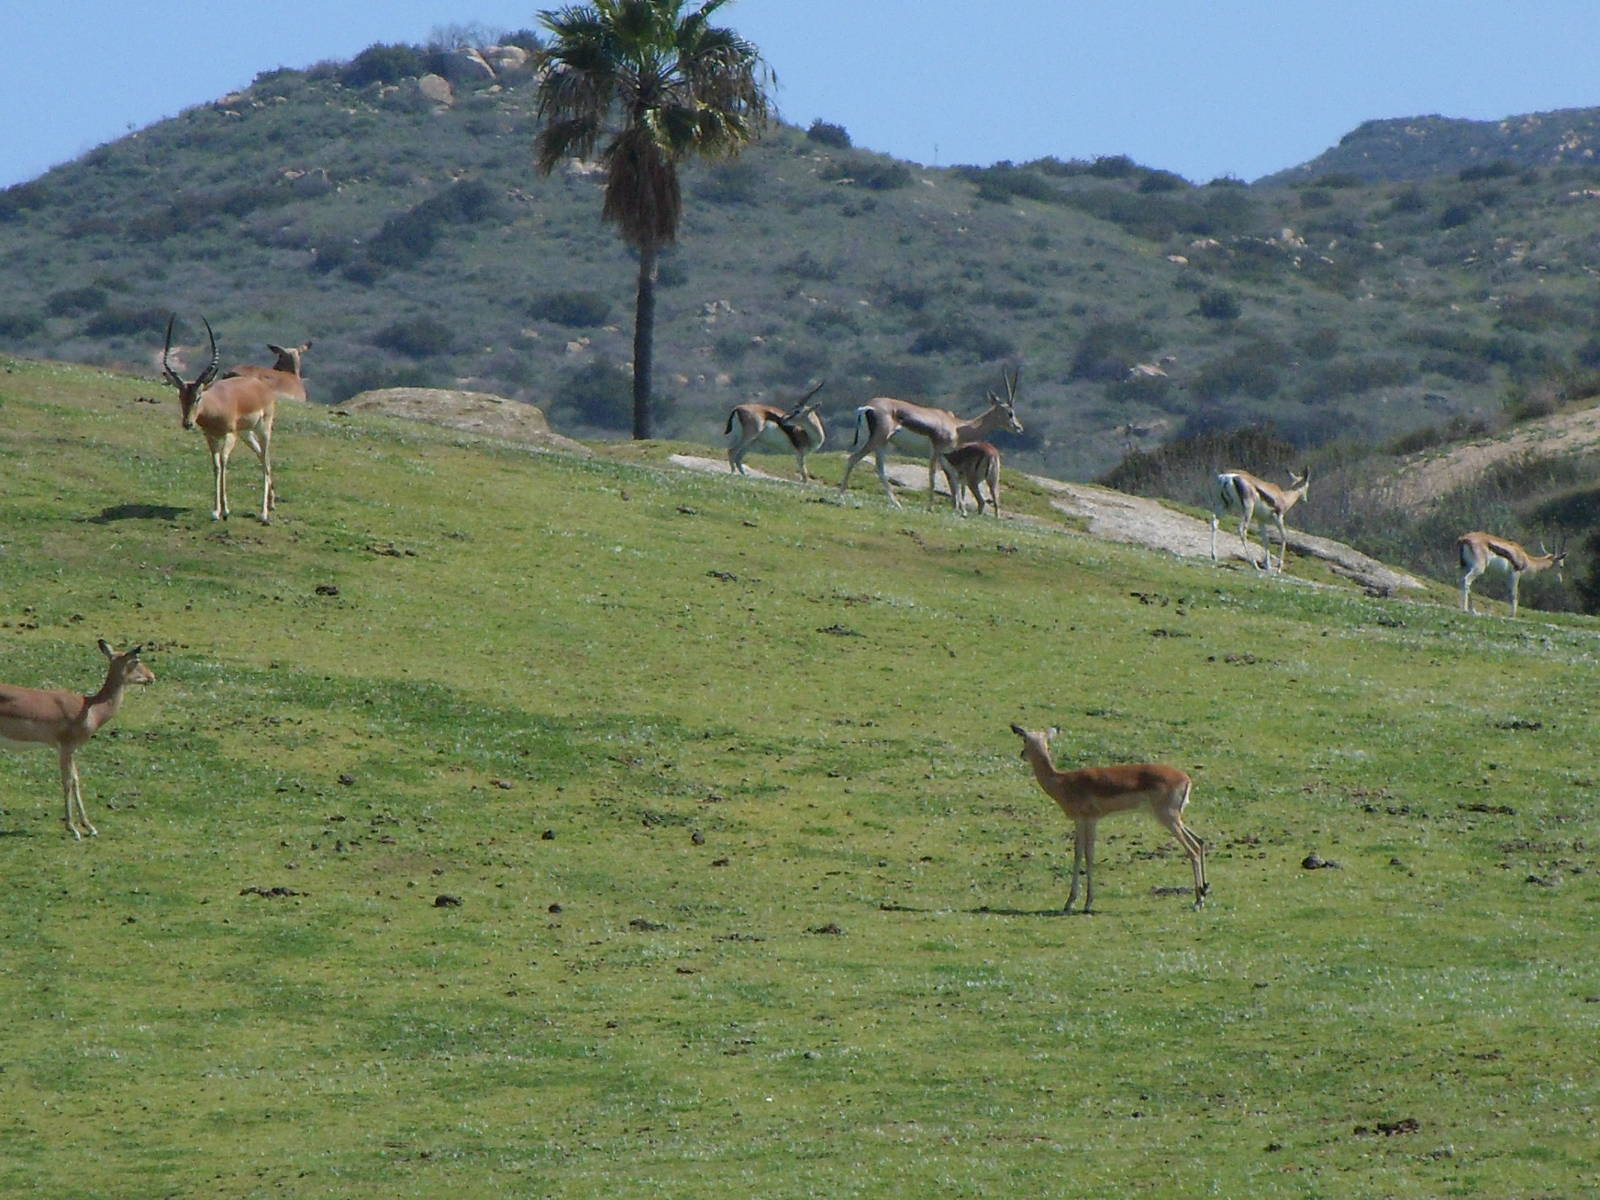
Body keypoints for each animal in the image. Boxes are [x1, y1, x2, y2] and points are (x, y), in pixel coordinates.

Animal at [0, 641, 155, 838]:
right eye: (136, 660)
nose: (152, 676)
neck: (92, 709)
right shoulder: (65, 747)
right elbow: (67, 781)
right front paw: (73, 829)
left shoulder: (70, 750)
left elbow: (75, 779)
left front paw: (89, 827)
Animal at [160, 314, 281, 522]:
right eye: (180, 396)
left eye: (198, 396)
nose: (187, 423)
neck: (215, 406)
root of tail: (261, 386)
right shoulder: (210, 437)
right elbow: (216, 466)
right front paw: (216, 510)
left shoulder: (229, 436)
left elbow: (224, 463)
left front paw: (225, 510)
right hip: (246, 433)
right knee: (260, 455)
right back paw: (271, 503)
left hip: (262, 429)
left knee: (265, 459)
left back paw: (263, 513)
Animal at [839, 368, 1022, 510]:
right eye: (1010, 413)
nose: (1019, 428)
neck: (957, 426)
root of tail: (868, 406)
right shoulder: (936, 450)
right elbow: (933, 476)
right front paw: (931, 506)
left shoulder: (944, 454)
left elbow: (953, 478)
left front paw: (960, 510)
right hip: (878, 440)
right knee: (853, 458)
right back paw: (840, 496)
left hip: (882, 443)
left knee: (880, 468)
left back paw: (896, 504)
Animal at [1010, 724, 1206, 914]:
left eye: (1025, 739)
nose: (1022, 754)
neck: (1063, 782)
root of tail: (1186, 779)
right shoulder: (1080, 821)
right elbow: (1078, 853)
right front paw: (1070, 902)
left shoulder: (1089, 819)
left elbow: (1087, 854)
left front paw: (1085, 903)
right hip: (1173, 818)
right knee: (1200, 840)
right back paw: (1204, 892)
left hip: (1168, 818)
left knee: (1193, 849)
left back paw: (1197, 902)